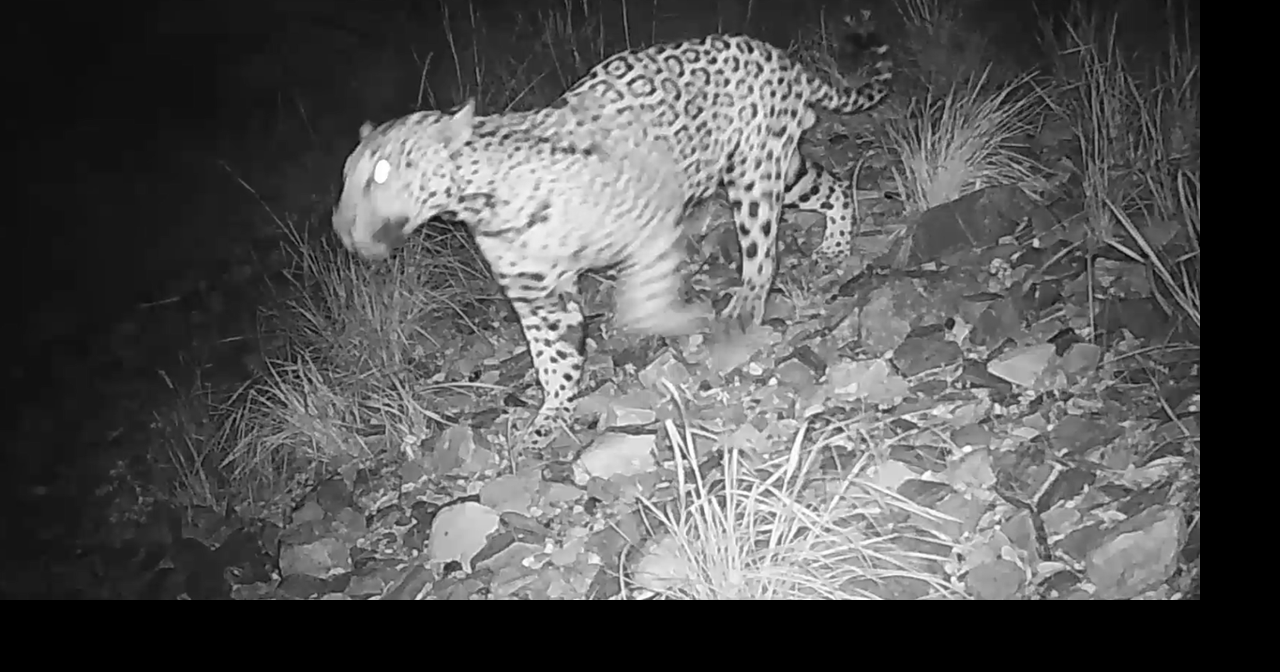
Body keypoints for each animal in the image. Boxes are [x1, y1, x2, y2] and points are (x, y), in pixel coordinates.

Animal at [333, 93, 710, 452]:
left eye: (381, 172)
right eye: (346, 175)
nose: (338, 227)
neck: (482, 204)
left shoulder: (651, 220)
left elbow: (647, 289)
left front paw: (676, 323)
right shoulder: (535, 291)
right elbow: (554, 353)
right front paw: (550, 417)